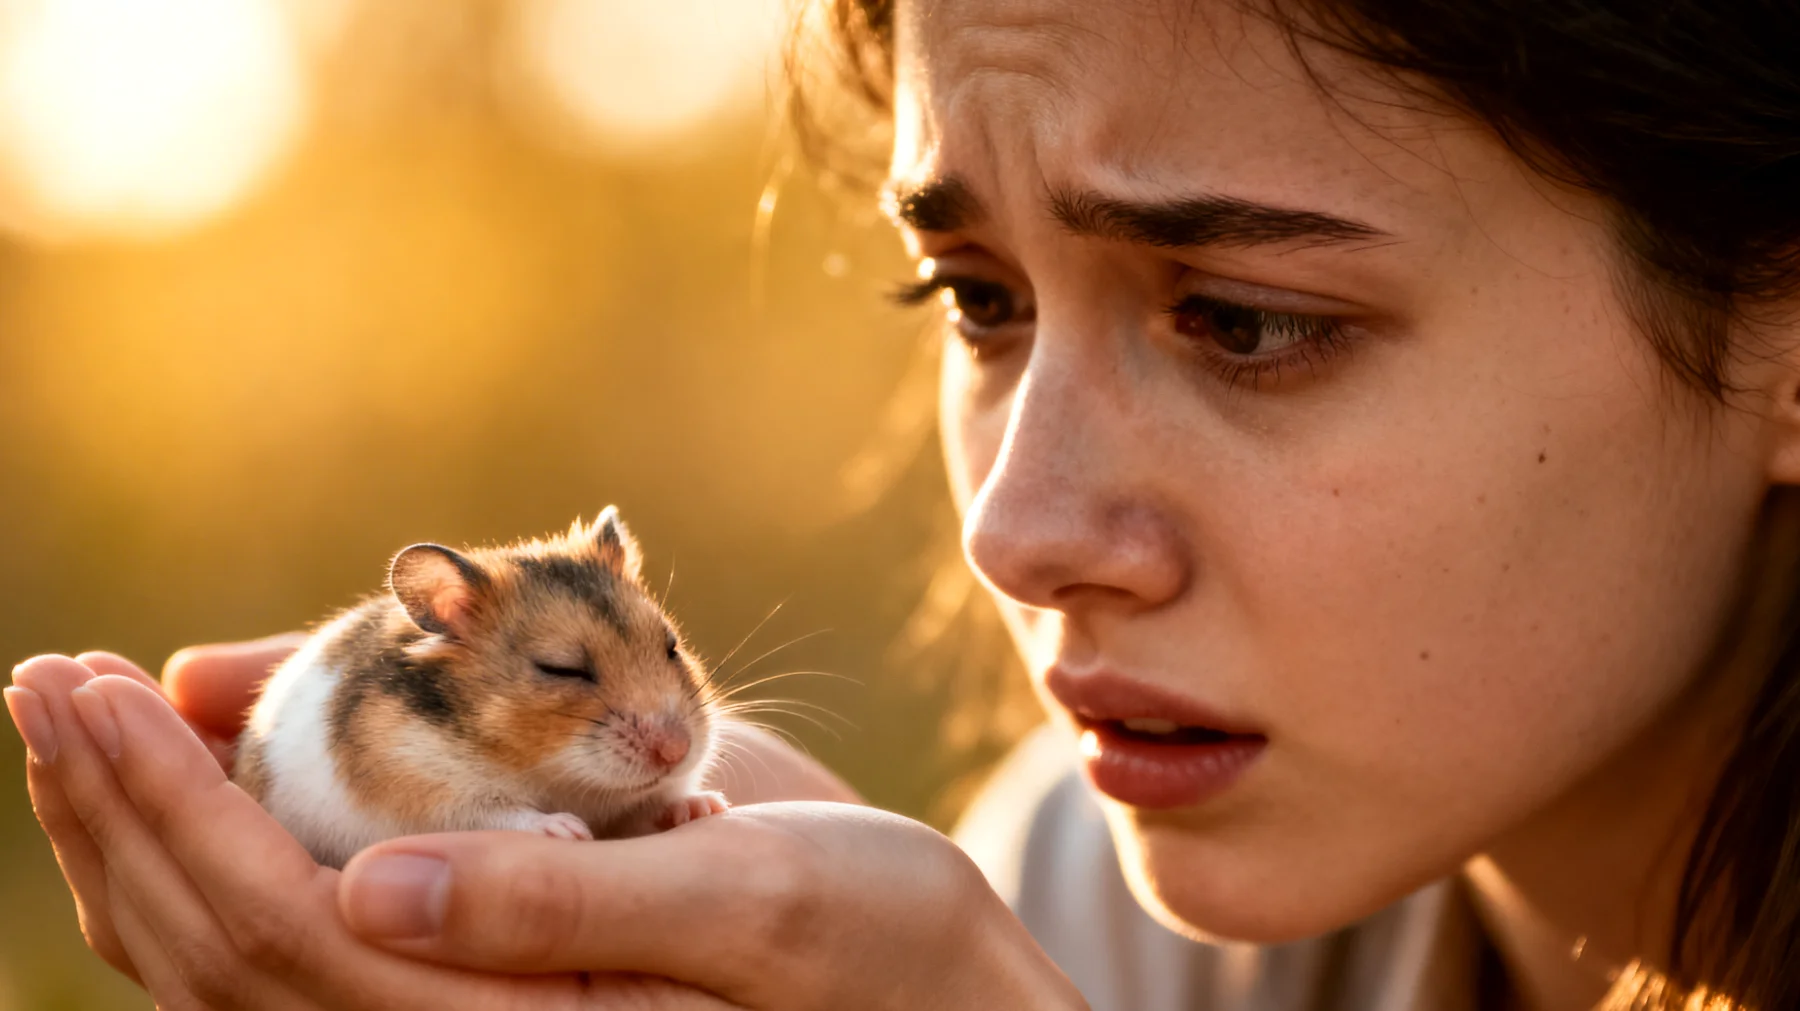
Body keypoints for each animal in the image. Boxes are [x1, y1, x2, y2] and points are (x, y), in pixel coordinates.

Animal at [232, 506, 727, 869]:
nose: (677, 751)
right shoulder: (425, 792)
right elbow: (497, 814)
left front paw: (706, 806)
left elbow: (653, 804)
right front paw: (567, 829)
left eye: (671, 647)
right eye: (561, 669)